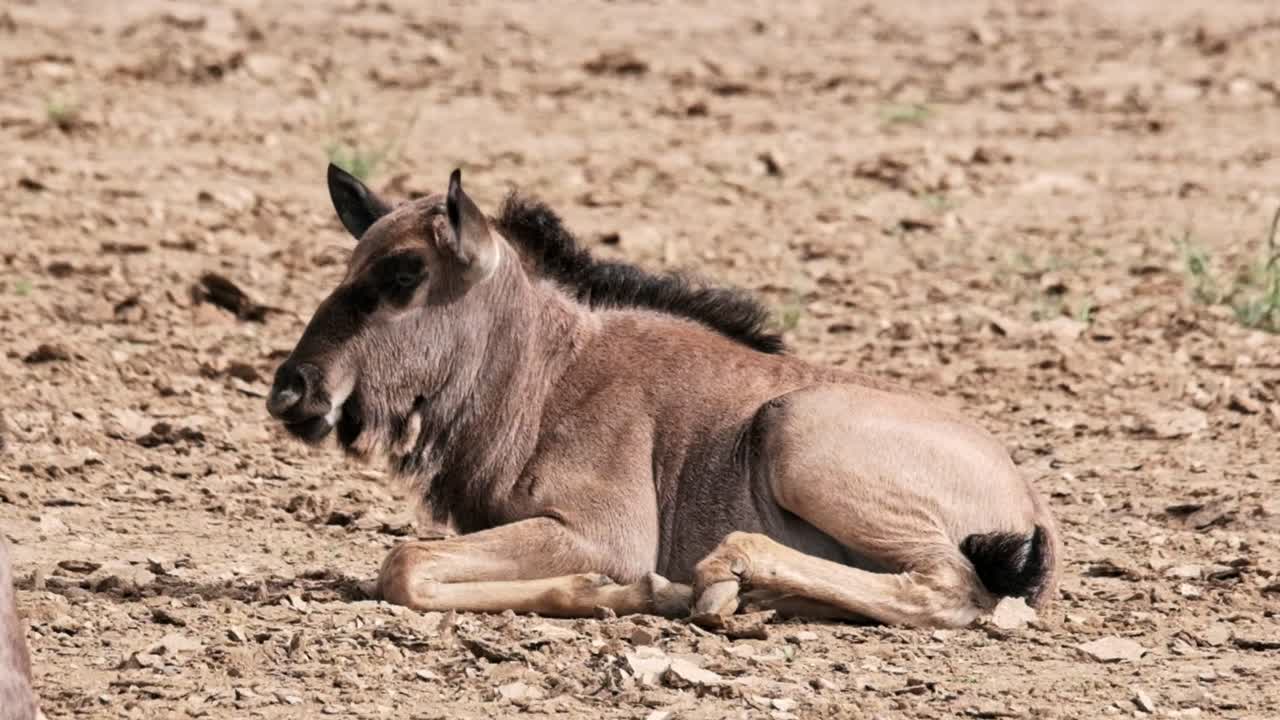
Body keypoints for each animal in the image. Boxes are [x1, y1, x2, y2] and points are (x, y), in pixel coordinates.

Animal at [265, 164, 1060, 628]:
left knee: (950, 586)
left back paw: (727, 577)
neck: (548, 369)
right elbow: (413, 569)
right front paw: (623, 594)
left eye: (403, 273)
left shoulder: (606, 533)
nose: (290, 390)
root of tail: (1026, 502)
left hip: (795, 433)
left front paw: (646, 592)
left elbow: (402, 565)